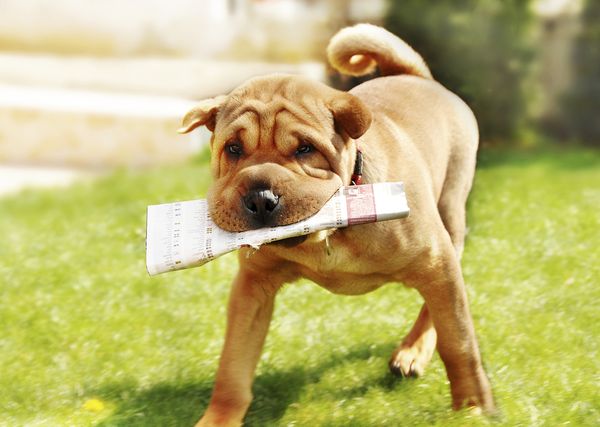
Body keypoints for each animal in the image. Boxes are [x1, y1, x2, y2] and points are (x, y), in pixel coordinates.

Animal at [179, 24, 496, 427]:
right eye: (233, 149)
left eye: (305, 149)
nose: (260, 197)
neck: (329, 235)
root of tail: (417, 76)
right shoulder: (253, 285)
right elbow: (233, 364)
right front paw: (218, 417)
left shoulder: (436, 262)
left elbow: (459, 342)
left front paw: (473, 406)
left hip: (451, 216)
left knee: (437, 308)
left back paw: (412, 352)